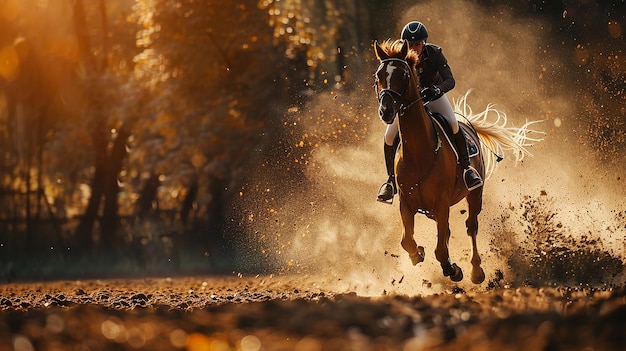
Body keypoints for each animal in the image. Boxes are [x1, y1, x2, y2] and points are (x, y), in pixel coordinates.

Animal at [370, 40, 540, 284]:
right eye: (378, 75)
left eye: (403, 74)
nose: (386, 111)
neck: (418, 153)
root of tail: (469, 126)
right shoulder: (406, 203)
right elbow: (407, 241)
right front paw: (418, 253)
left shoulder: (441, 203)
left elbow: (440, 249)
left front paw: (453, 269)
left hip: (474, 194)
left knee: (471, 227)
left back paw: (476, 271)